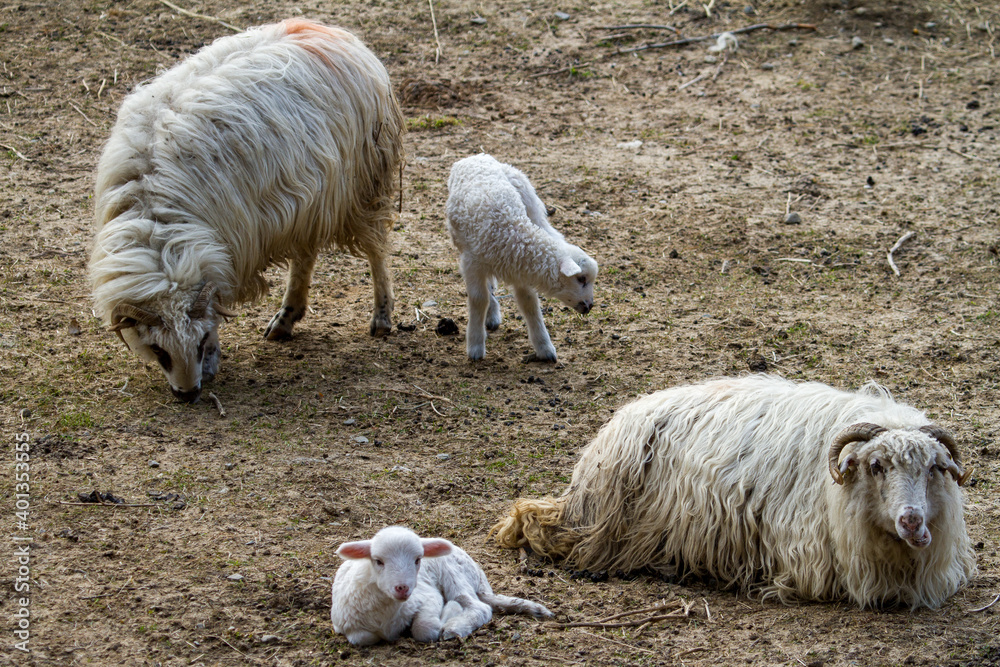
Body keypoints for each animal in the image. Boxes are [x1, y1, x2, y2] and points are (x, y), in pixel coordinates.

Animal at [88, 19, 404, 402]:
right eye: (159, 350)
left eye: (198, 343)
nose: (188, 393)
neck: (158, 226)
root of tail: (329, 31)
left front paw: (211, 362)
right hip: (308, 196)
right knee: (305, 254)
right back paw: (286, 317)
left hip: (364, 183)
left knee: (376, 249)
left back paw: (382, 316)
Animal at [331, 526, 553, 645]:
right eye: (378, 561)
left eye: (418, 560)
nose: (402, 588)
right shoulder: (347, 626)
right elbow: (362, 638)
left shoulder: (428, 596)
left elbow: (425, 629)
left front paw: (449, 615)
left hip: (454, 574)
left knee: (480, 607)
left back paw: (454, 627)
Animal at [445, 154, 598, 362]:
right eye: (581, 279)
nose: (590, 306)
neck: (511, 231)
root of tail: (477, 156)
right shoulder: (472, 263)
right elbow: (479, 299)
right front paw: (475, 346)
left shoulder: (519, 268)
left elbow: (529, 303)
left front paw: (544, 347)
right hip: (460, 241)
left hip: (531, 205)